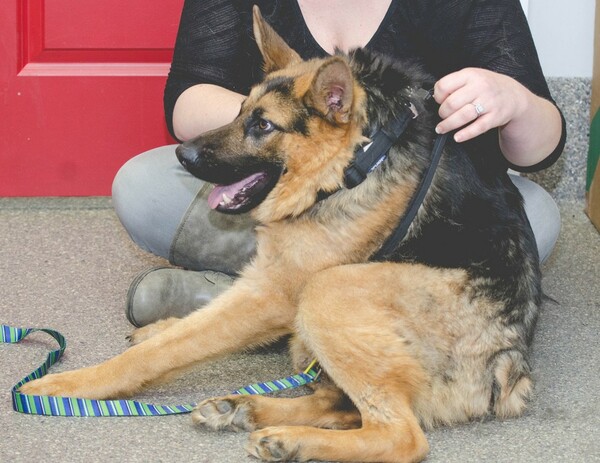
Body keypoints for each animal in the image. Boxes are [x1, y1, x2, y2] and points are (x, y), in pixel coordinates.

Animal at [23, 8, 540, 463]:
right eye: (239, 111)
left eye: (264, 125)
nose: (182, 154)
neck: (356, 158)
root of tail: (510, 369)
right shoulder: (266, 279)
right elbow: (196, 323)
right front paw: (165, 326)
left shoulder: (275, 292)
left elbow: (168, 350)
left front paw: (73, 386)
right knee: (341, 404)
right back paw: (248, 409)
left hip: (328, 290)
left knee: (401, 436)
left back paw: (292, 439)